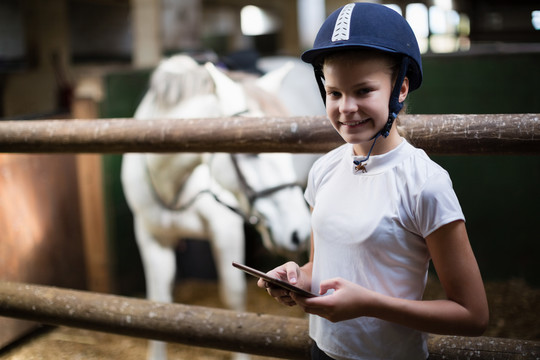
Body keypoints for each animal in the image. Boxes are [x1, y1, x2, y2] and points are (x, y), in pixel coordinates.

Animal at [120, 54, 318, 360]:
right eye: (253, 151)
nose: (296, 231)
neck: (174, 185)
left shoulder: (226, 232)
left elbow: (233, 295)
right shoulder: (152, 237)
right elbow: (158, 301)